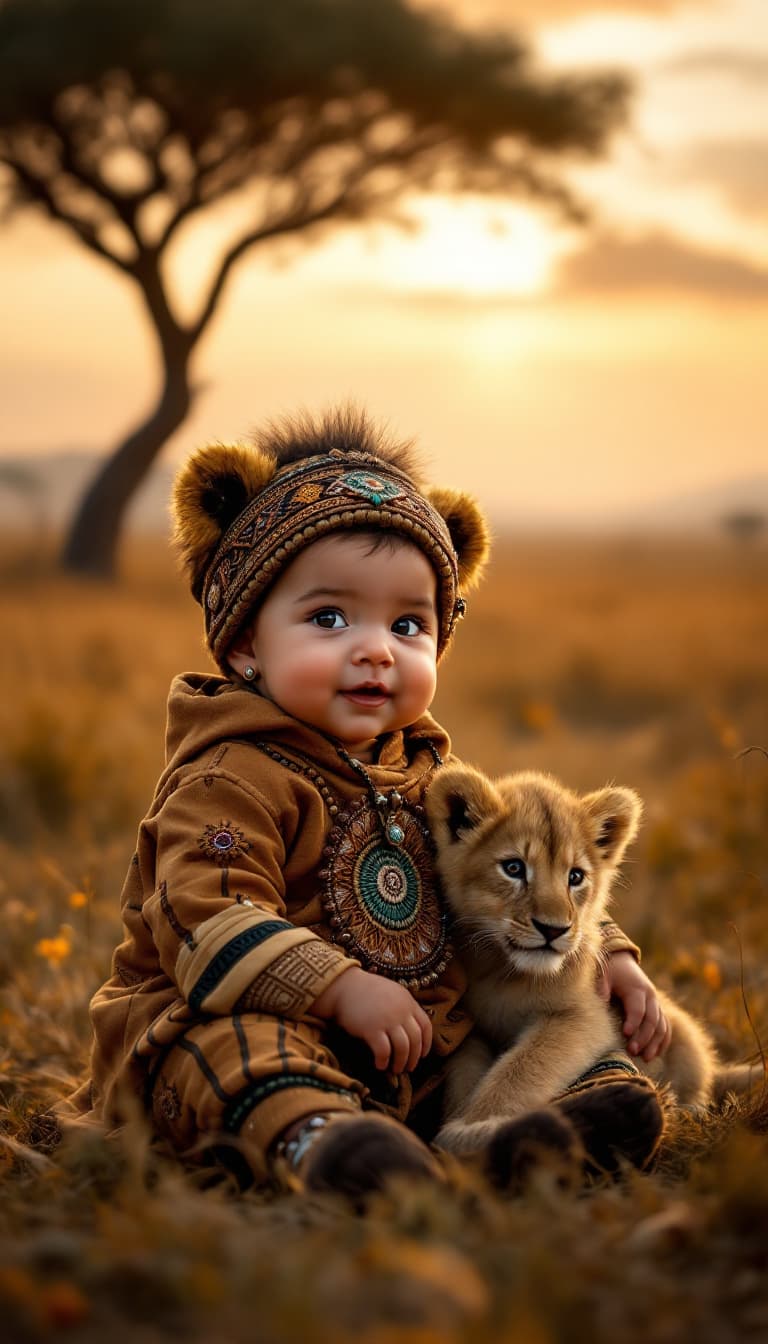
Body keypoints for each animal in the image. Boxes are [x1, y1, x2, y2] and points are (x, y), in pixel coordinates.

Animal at [425, 764, 760, 1156]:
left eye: (575, 877)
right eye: (513, 868)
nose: (553, 929)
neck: (502, 968)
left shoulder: (584, 1015)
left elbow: (521, 1069)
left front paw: (467, 1130)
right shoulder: (470, 1029)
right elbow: (463, 1076)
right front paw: (459, 1124)